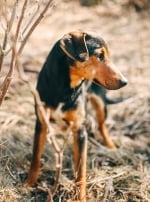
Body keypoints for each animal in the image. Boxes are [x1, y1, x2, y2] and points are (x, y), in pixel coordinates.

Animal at [26, 30, 127, 201]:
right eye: (99, 55)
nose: (124, 82)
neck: (65, 87)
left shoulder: (80, 131)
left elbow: (81, 171)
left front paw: (81, 197)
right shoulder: (41, 123)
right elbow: (35, 156)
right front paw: (28, 183)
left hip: (100, 104)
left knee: (102, 125)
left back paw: (110, 145)